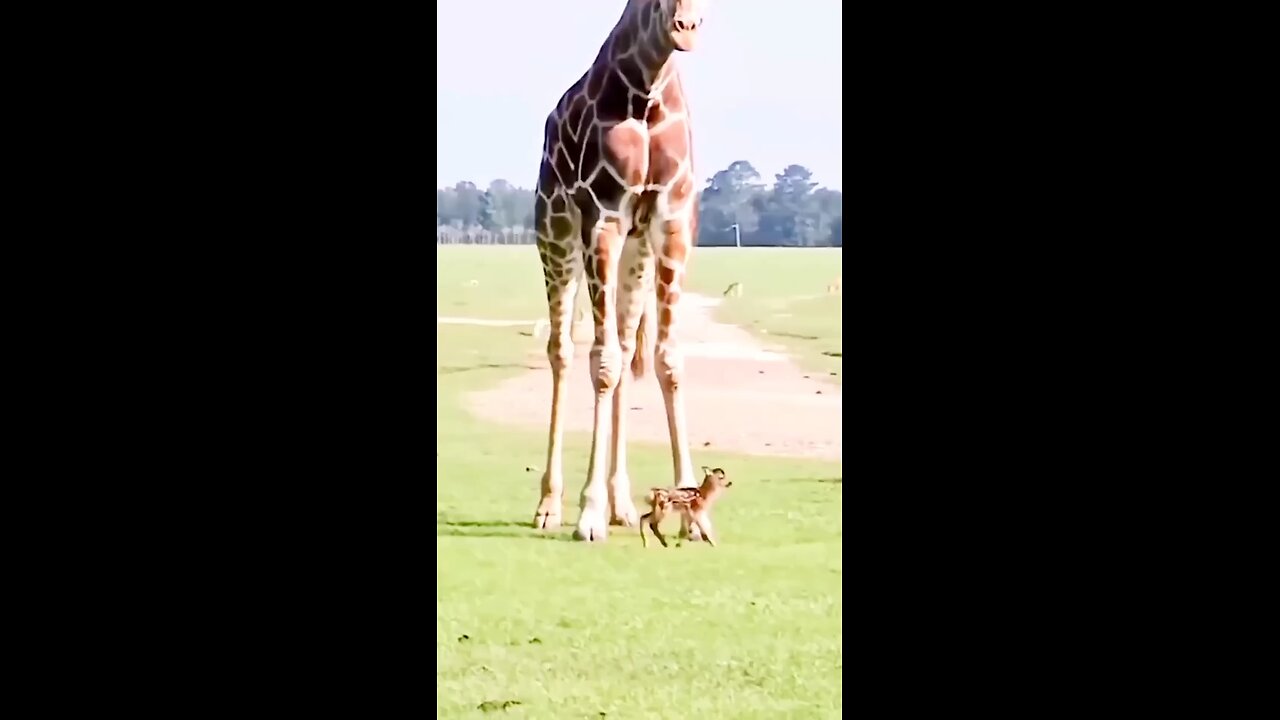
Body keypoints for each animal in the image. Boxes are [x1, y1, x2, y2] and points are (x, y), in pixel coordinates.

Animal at [527, 0, 711, 538]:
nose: (686, 27)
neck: (647, 88)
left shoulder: (672, 221)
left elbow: (667, 360)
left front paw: (692, 514)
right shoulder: (603, 218)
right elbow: (602, 362)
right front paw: (588, 514)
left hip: (636, 253)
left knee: (629, 348)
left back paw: (622, 504)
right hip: (555, 231)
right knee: (563, 350)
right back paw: (550, 505)